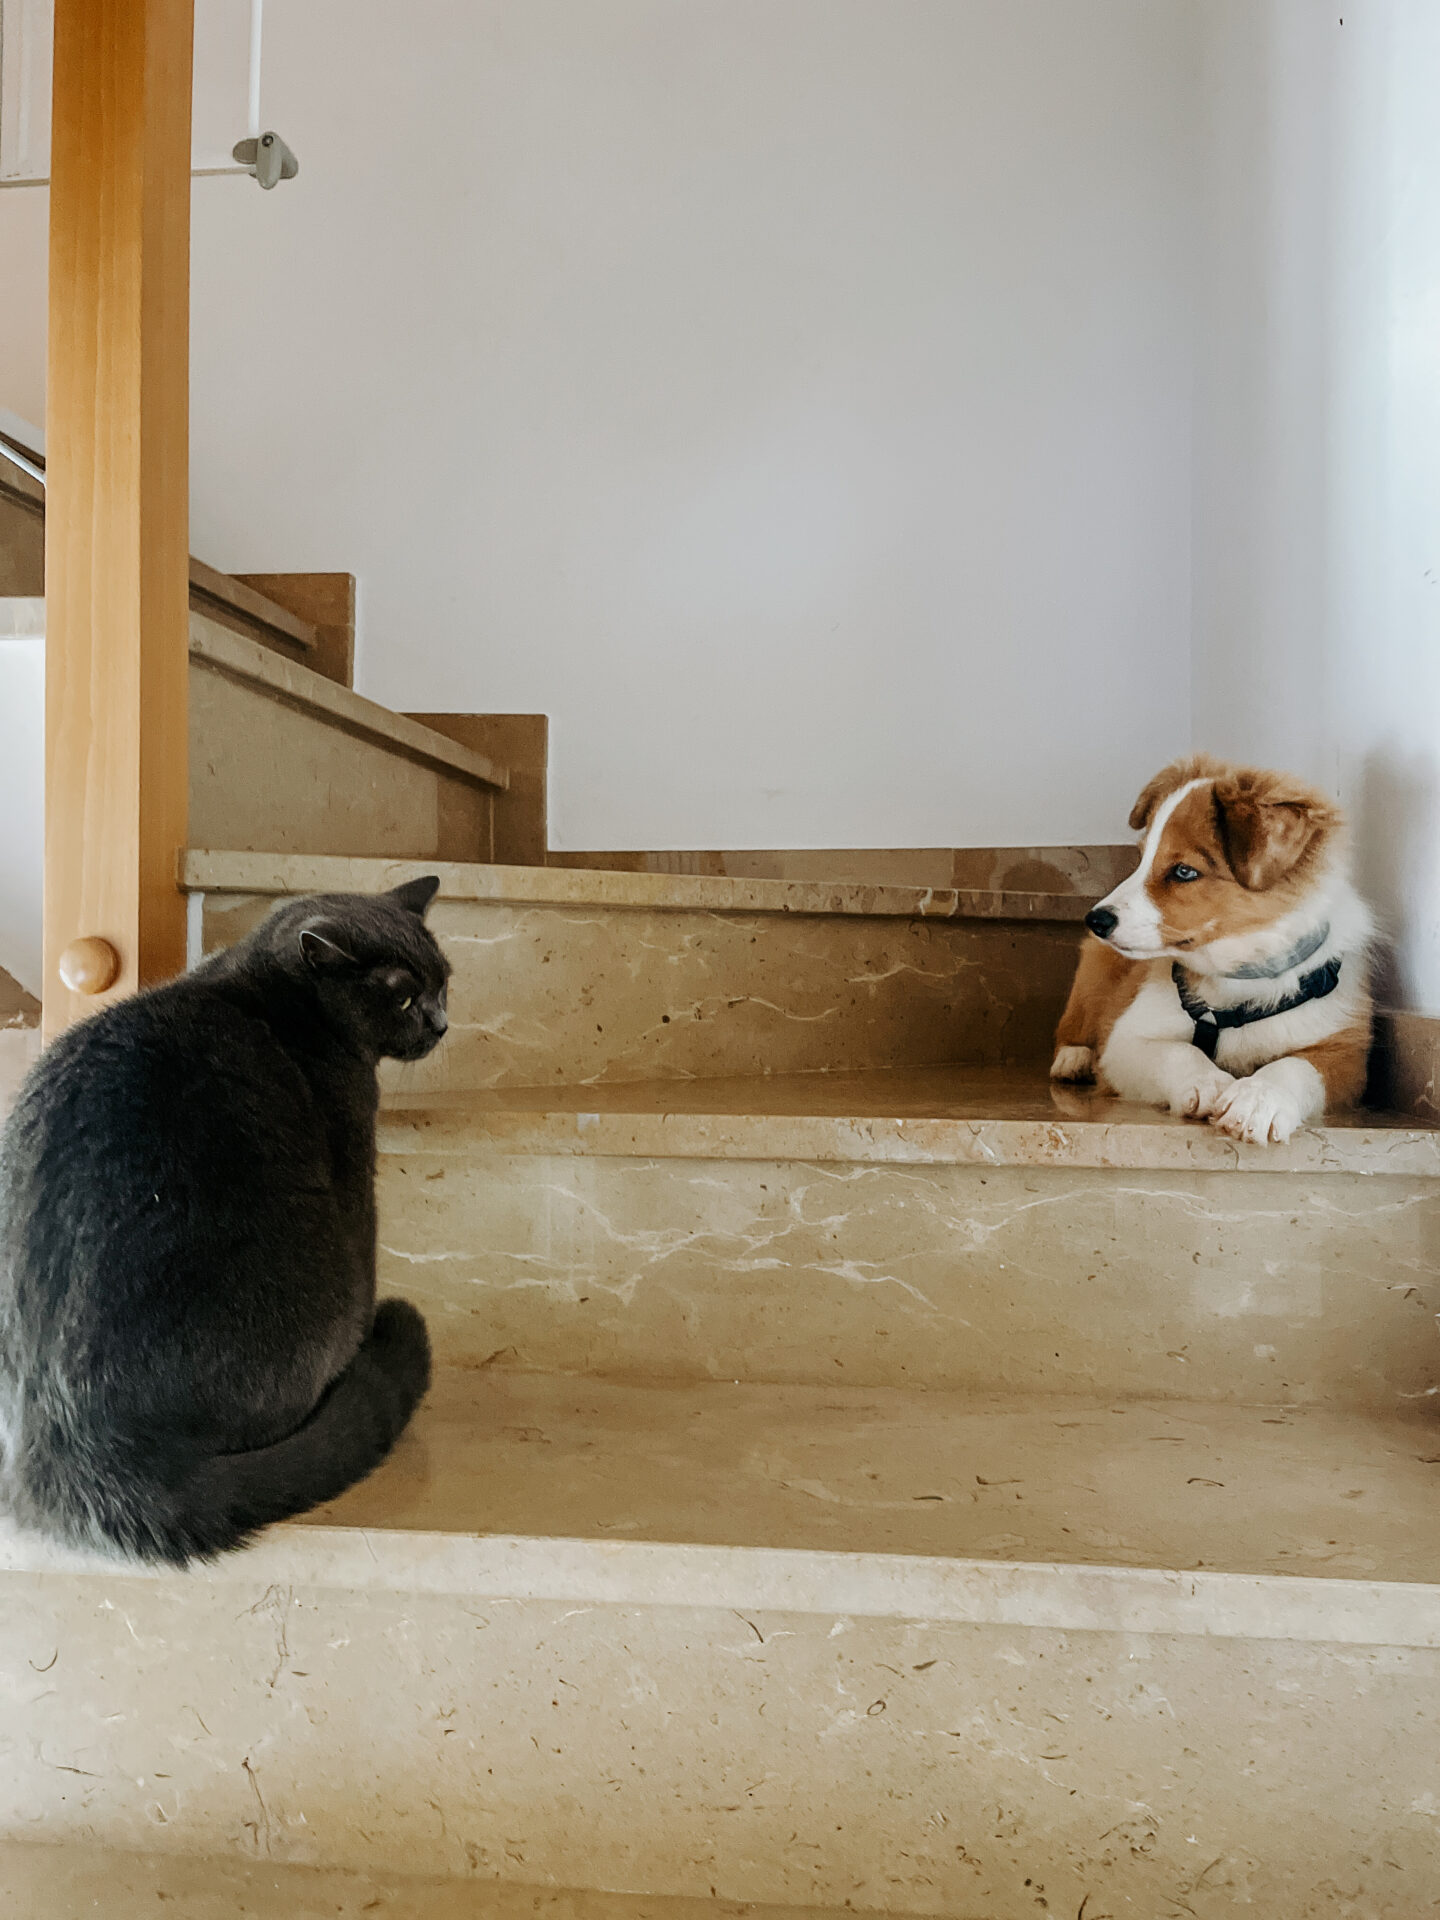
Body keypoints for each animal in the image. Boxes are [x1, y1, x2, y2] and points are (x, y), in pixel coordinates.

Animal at [0, 879, 451, 1566]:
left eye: (445, 982)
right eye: (403, 995)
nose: (442, 1022)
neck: (270, 994)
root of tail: (70, 1450)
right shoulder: (352, 1155)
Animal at [1059, 748, 1374, 1136]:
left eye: (1184, 871)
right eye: (1142, 858)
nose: (1096, 920)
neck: (1239, 972)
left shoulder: (1347, 1053)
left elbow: (1295, 1067)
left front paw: (1258, 1098)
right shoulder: (1124, 1041)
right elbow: (1177, 1051)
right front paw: (1207, 1083)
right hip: (1094, 970)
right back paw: (1073, 1057)